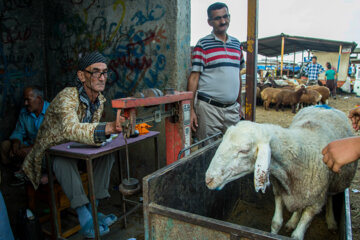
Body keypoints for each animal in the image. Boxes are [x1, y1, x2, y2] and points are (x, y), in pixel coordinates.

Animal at [205, 106, 358, 240]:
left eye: (244, 150)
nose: (208, 179)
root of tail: (324, 106)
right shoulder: (279, 191)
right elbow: (276, 223)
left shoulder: (315, 205)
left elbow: (297, 236)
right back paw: (292, 221)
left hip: (334, 182)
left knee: (330, 197)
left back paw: (331, 221)